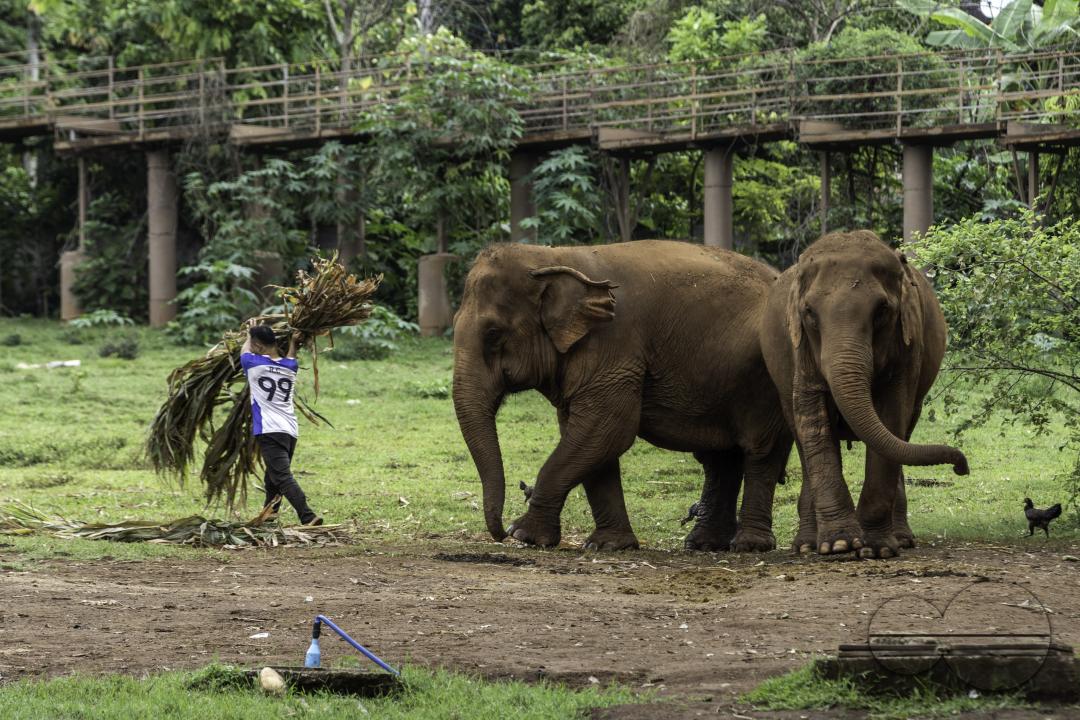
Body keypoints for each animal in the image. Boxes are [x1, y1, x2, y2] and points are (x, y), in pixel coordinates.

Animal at [452, 240, 792, 552]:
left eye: (493, 334)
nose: (498, 533)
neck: (555, 256)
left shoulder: (613, 347)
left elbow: (606, 432)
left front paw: (524, 535)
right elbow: (590, 439)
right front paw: (608, 545)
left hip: (769, 381)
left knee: (760, 451)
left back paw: (749, 545)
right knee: (721, 459)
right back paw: (703, 544)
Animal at [759, 230, 969, 559]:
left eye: (882, 311)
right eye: (809, 313)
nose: (962, 466)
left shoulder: (908, 347)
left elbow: (892, 415)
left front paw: (875, 549)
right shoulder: (800, 350)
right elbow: (811, 414)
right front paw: (839, 544)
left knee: (903, 434)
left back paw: (901, 539)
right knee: (801, 436)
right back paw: (806, 545)